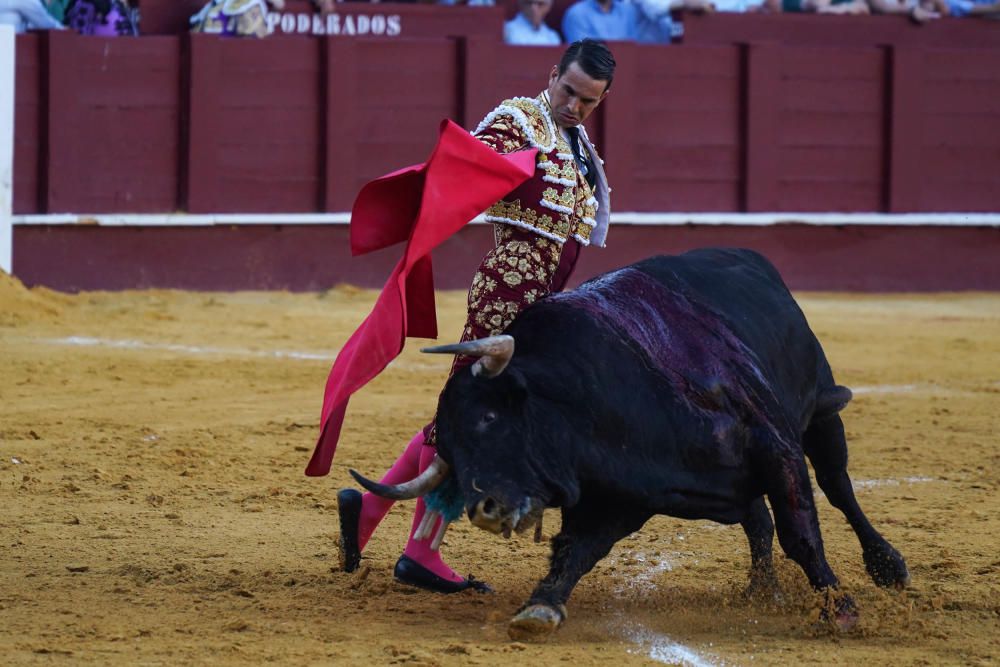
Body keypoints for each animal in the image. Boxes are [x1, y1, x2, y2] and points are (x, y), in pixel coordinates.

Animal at [366, 250, 908, 640]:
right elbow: (575, 550)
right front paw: (540, 606)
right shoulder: (616, 494)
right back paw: (761, 590)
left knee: (837, 487)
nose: (485, 509)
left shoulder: (773, 445)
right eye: (452, 451)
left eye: (490, 417)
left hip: (822, 412)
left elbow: (802, 531)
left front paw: (839, 609)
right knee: (757, 519)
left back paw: (888, 566)